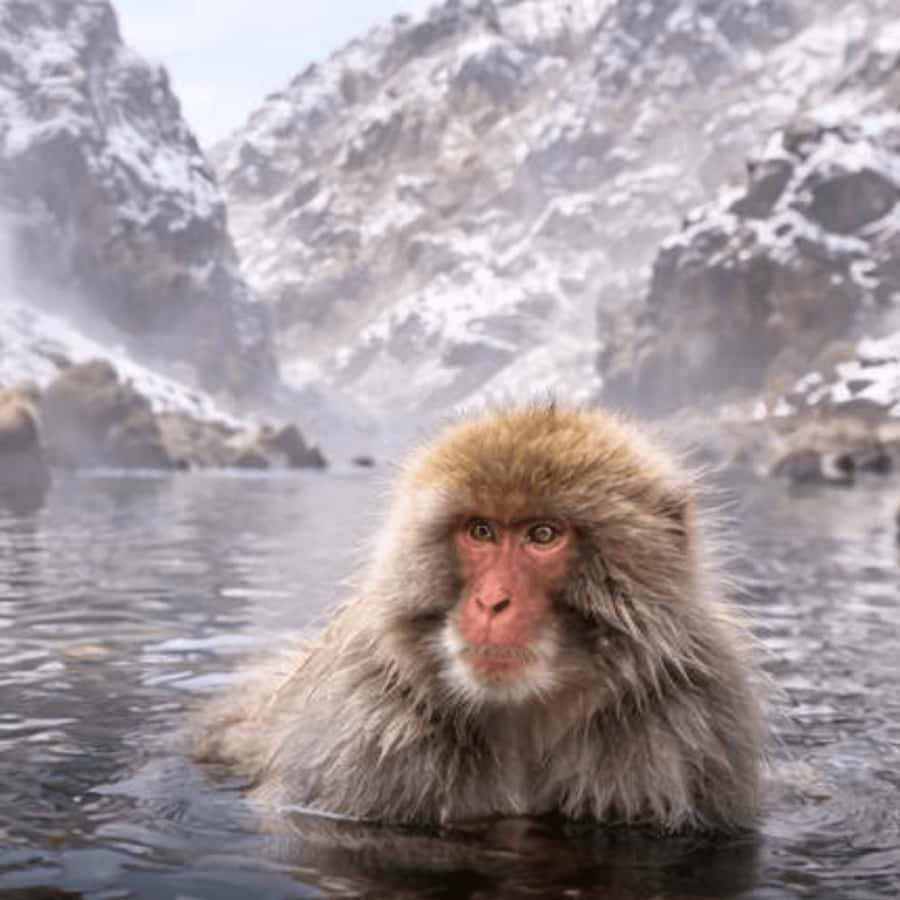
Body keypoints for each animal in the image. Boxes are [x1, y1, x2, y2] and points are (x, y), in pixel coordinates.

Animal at [193, 403, 766, 832]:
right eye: (481, 532)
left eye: (542, 535)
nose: (491, 602)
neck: (524, 721)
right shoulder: (368, 741)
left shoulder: (687, 732)